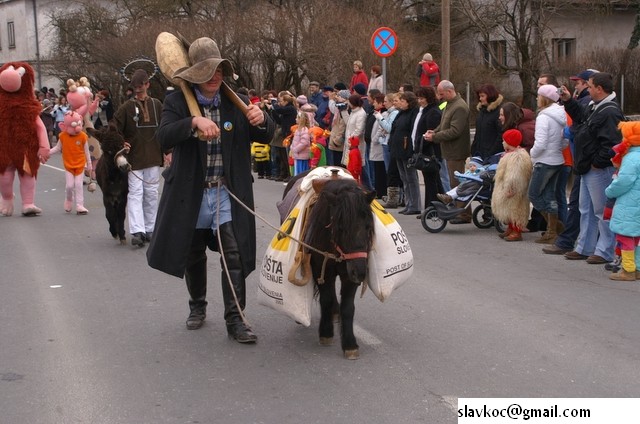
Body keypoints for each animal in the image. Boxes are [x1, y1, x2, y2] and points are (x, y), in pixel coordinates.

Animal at [284, 174, 376, 360]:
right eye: (340, 227)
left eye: (368, 226)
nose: (360, 272)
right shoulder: (322, 269)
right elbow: (325, 299)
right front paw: (326, 333)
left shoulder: (349, 275)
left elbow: (348, 308)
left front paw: (350, 344)